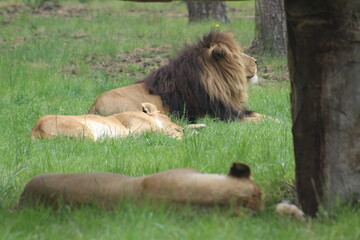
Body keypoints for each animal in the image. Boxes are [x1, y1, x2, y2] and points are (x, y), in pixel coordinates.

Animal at [87, 30, 262, 122]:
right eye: (240, 54)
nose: (256, 61)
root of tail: (93, 107)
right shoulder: (220, 115)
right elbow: (258, 119)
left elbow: (260, 114)